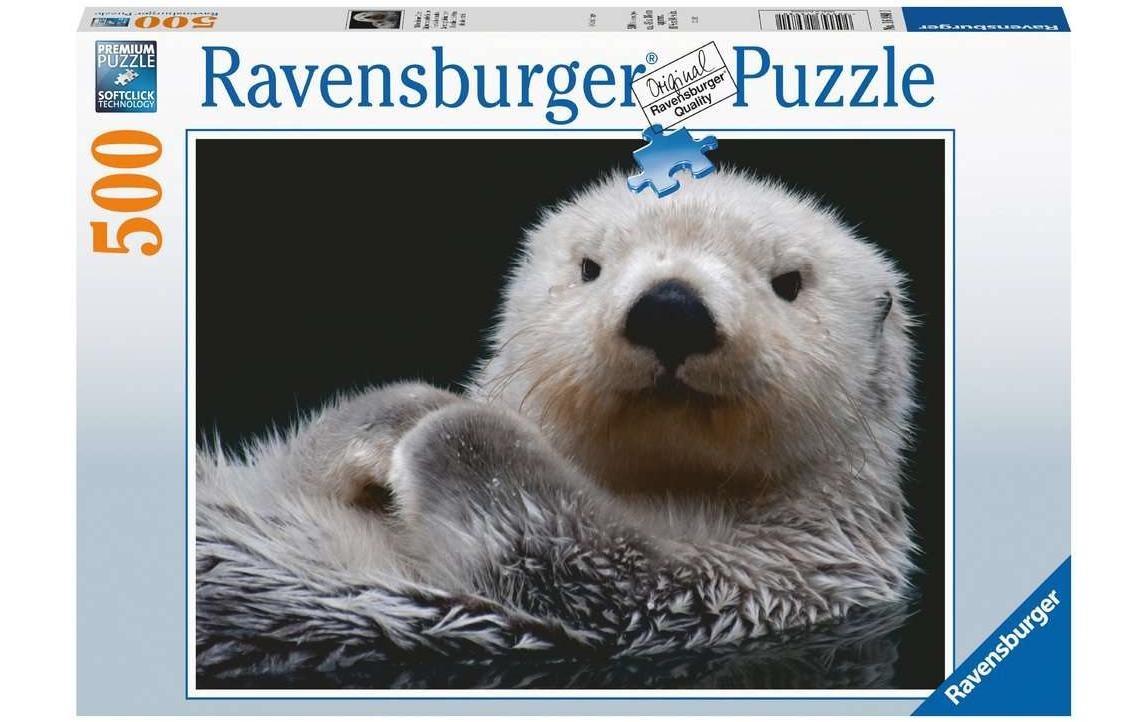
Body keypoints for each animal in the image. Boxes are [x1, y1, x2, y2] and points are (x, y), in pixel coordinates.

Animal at [196, 168, 918, 677]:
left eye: (788, 281)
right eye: (589, 267)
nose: (671, 309)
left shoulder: (759, 583)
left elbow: (576, 552)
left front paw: (448, 425)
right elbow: (289, 464)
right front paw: (402, 412)